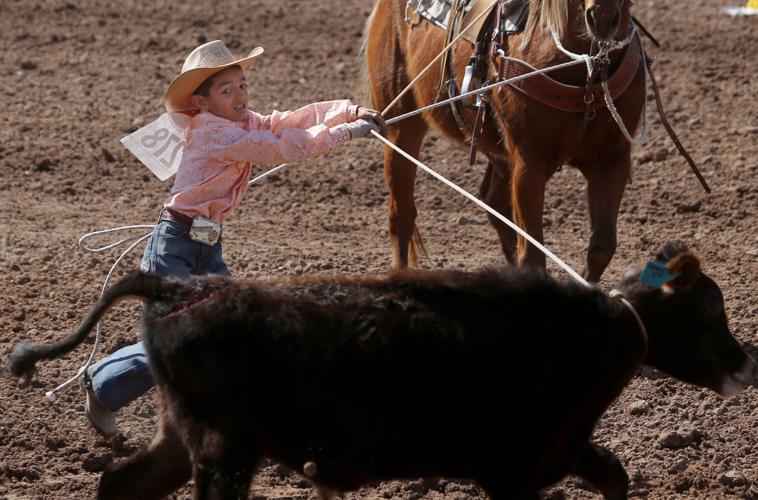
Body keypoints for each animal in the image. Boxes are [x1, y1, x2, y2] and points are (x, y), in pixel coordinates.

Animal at [7, 242, 755, 500]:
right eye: (711, 308)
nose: (747, 361)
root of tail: (175, 290)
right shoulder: (512, 471)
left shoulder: (560, 453)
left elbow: (616, 476)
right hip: (224, 450)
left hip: (182, 436)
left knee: (120, 484)